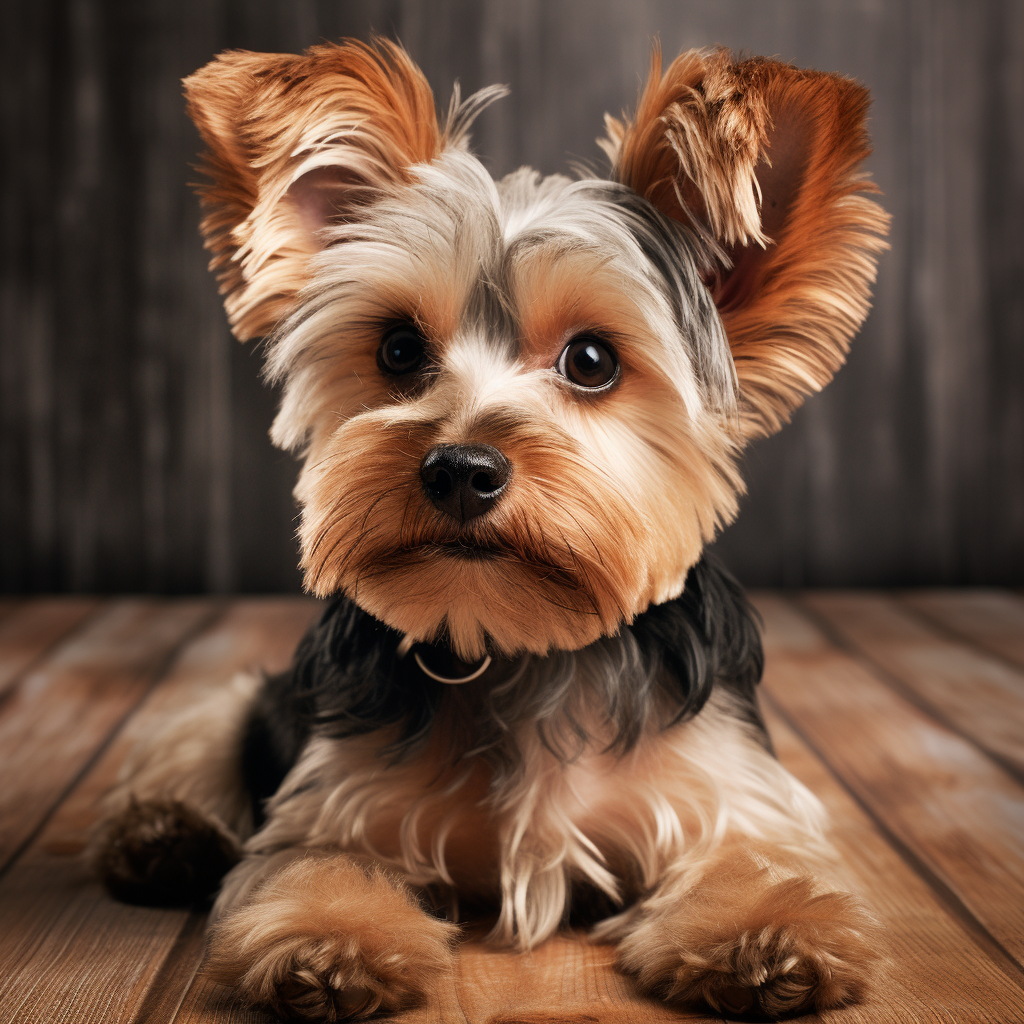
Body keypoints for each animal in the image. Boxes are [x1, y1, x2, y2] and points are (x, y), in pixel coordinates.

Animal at [92, 36, 892, 1019]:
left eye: (592, 360)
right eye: (398, 348)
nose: (461, 468)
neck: (519, 645)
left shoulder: (729, 783)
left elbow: (758, 856)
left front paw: (767, 933)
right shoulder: (334, 793)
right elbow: (312, 863)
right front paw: (332, 941)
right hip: (258, 695)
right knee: (204, 731)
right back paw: (163, 832)